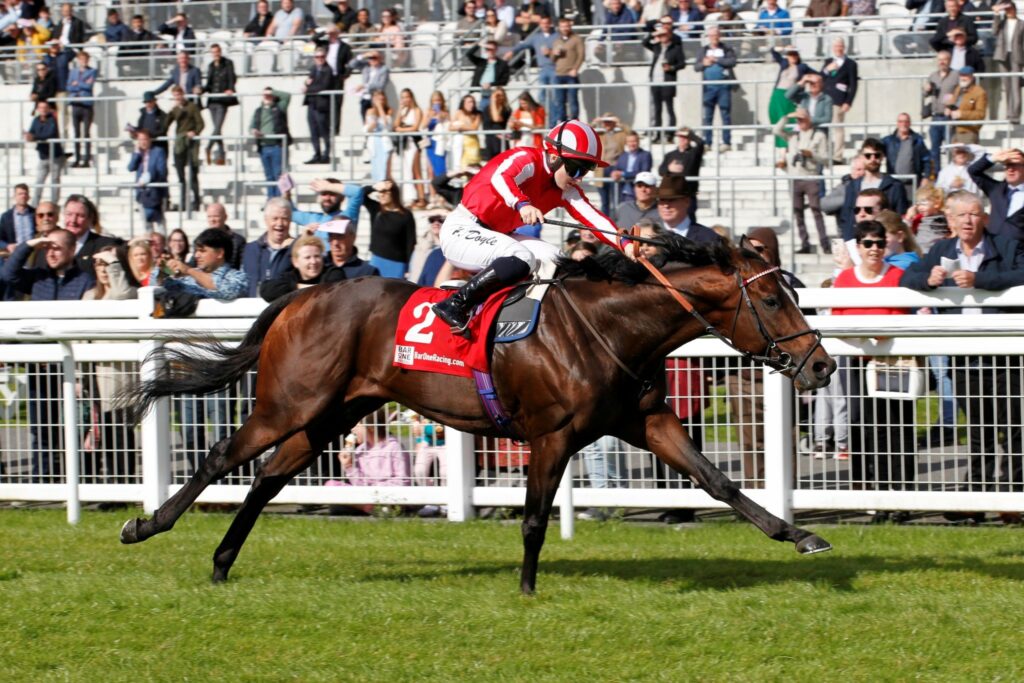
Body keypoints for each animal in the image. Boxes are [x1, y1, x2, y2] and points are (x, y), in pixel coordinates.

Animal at [121, 233, 839, 593]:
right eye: (771, 299)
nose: (822, 366)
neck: (612, 324)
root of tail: (301, 297)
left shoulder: (646, 421)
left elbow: (718, 481)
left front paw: (800, 534)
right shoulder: (552, 435)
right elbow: (533, 521)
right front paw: (526, 591)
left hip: (332, 415)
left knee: (267, 479)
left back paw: (221, 562)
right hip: (289, 402)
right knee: (224, 456)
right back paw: (145, 526)